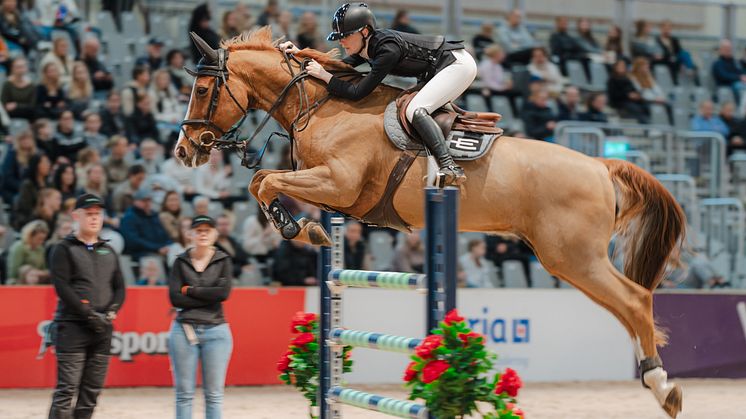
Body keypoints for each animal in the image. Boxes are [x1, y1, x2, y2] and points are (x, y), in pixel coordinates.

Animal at [174, 27, 684, 418]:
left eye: (202, 90)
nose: (183, 151)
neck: (319, 106)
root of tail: (600, 166)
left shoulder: (337, 184)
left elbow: (263, 182)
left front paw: (298, 228)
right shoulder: (328, 188)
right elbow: (262, 181)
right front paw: (307, 229)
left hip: (573, 258)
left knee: (634, 300)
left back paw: (663, 386)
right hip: (569, 260)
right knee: (626, 306)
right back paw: (654, 378)